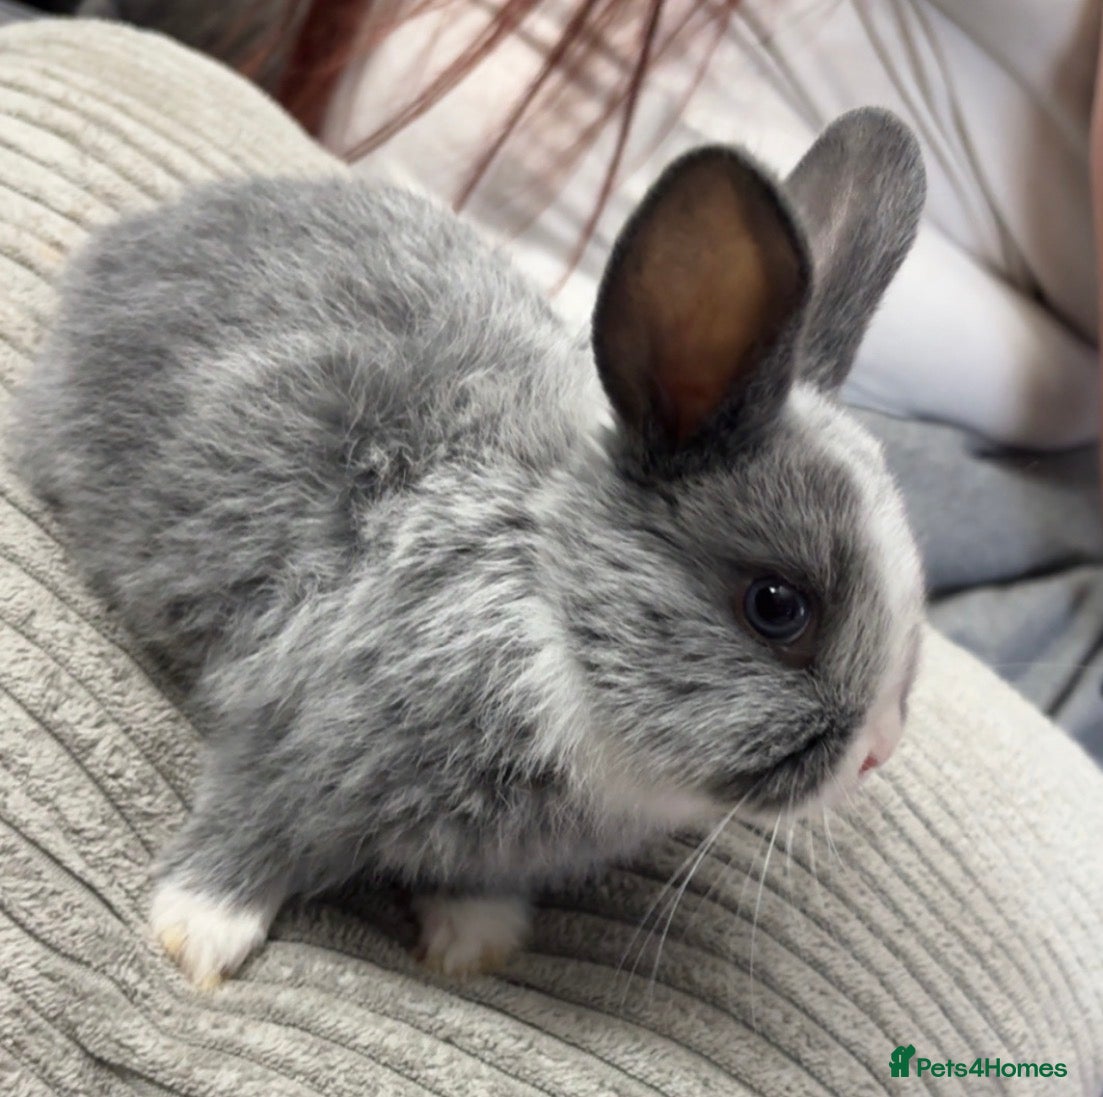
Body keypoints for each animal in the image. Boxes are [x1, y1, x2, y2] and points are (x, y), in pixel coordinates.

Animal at [8, 107, 926, 988]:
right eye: (776, 606)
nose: (877, 753)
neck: (546, 606)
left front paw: (476, 942)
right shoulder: (294, 735)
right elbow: (252, 827)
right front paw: (196, 935)